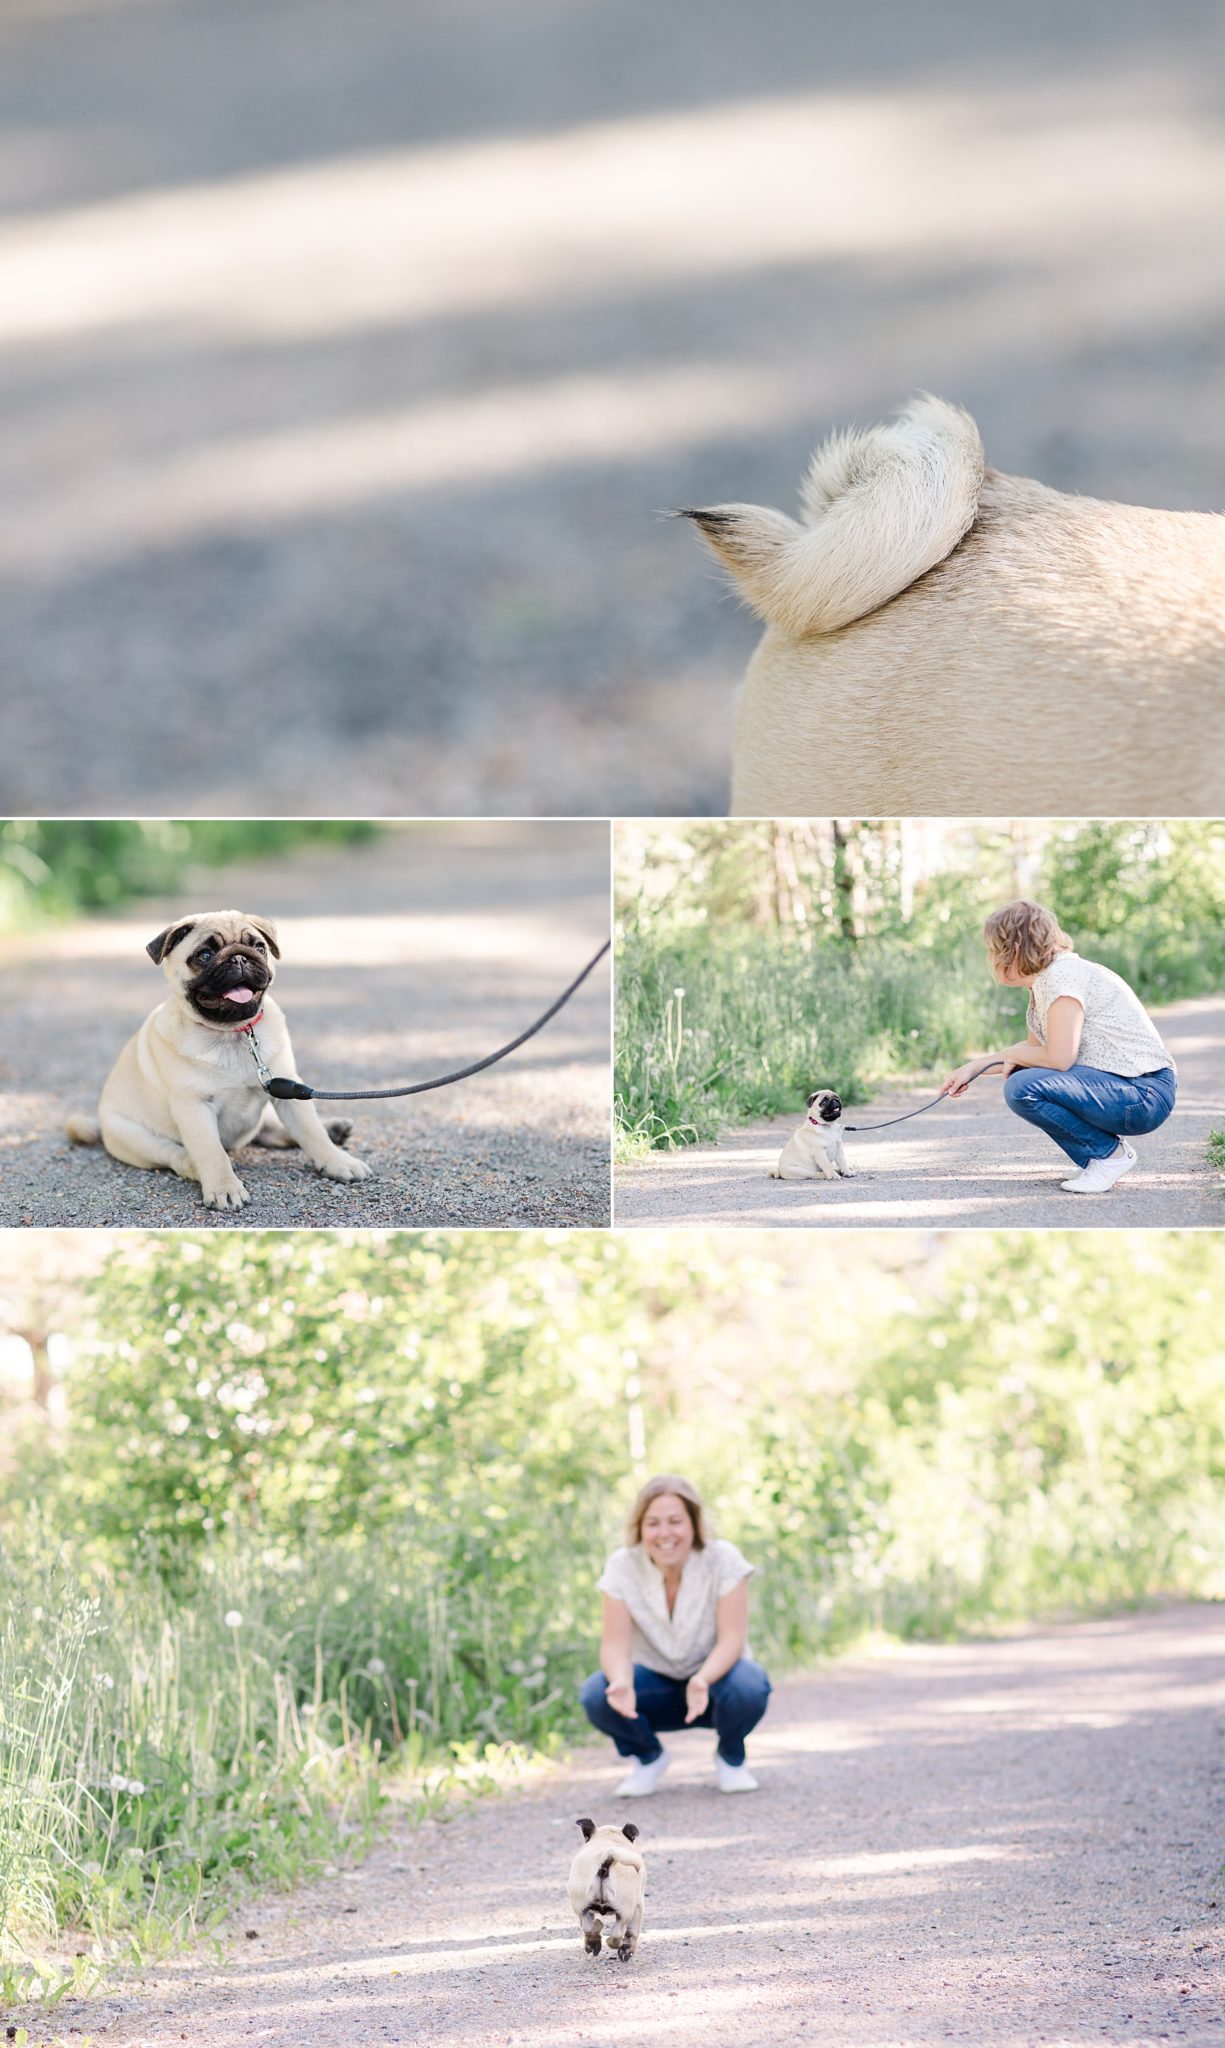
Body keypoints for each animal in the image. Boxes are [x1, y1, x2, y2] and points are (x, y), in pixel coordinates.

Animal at [64, 905, 372, 1204]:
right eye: (205, 955)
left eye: (259, 947)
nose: (239, 958)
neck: (233, 1033)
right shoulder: (194, 1107)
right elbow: (210, 1151)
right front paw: (224, 1187)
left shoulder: (288, 1091)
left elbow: (311, 1132)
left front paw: (338, 1161)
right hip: (135, 1137)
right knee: (177, 1154)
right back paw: (194, 1167)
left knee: (274, 1132)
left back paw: (334, 1129)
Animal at [569, 1826, 647, 1966]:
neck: (608, 1838)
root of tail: (607, 1855)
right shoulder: (639, 1905)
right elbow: (632, 1932)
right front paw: (627, 1950)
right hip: (625, 1911)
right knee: (618, 1933)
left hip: (581, 1906)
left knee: (588, 1927)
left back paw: (594, 1940)